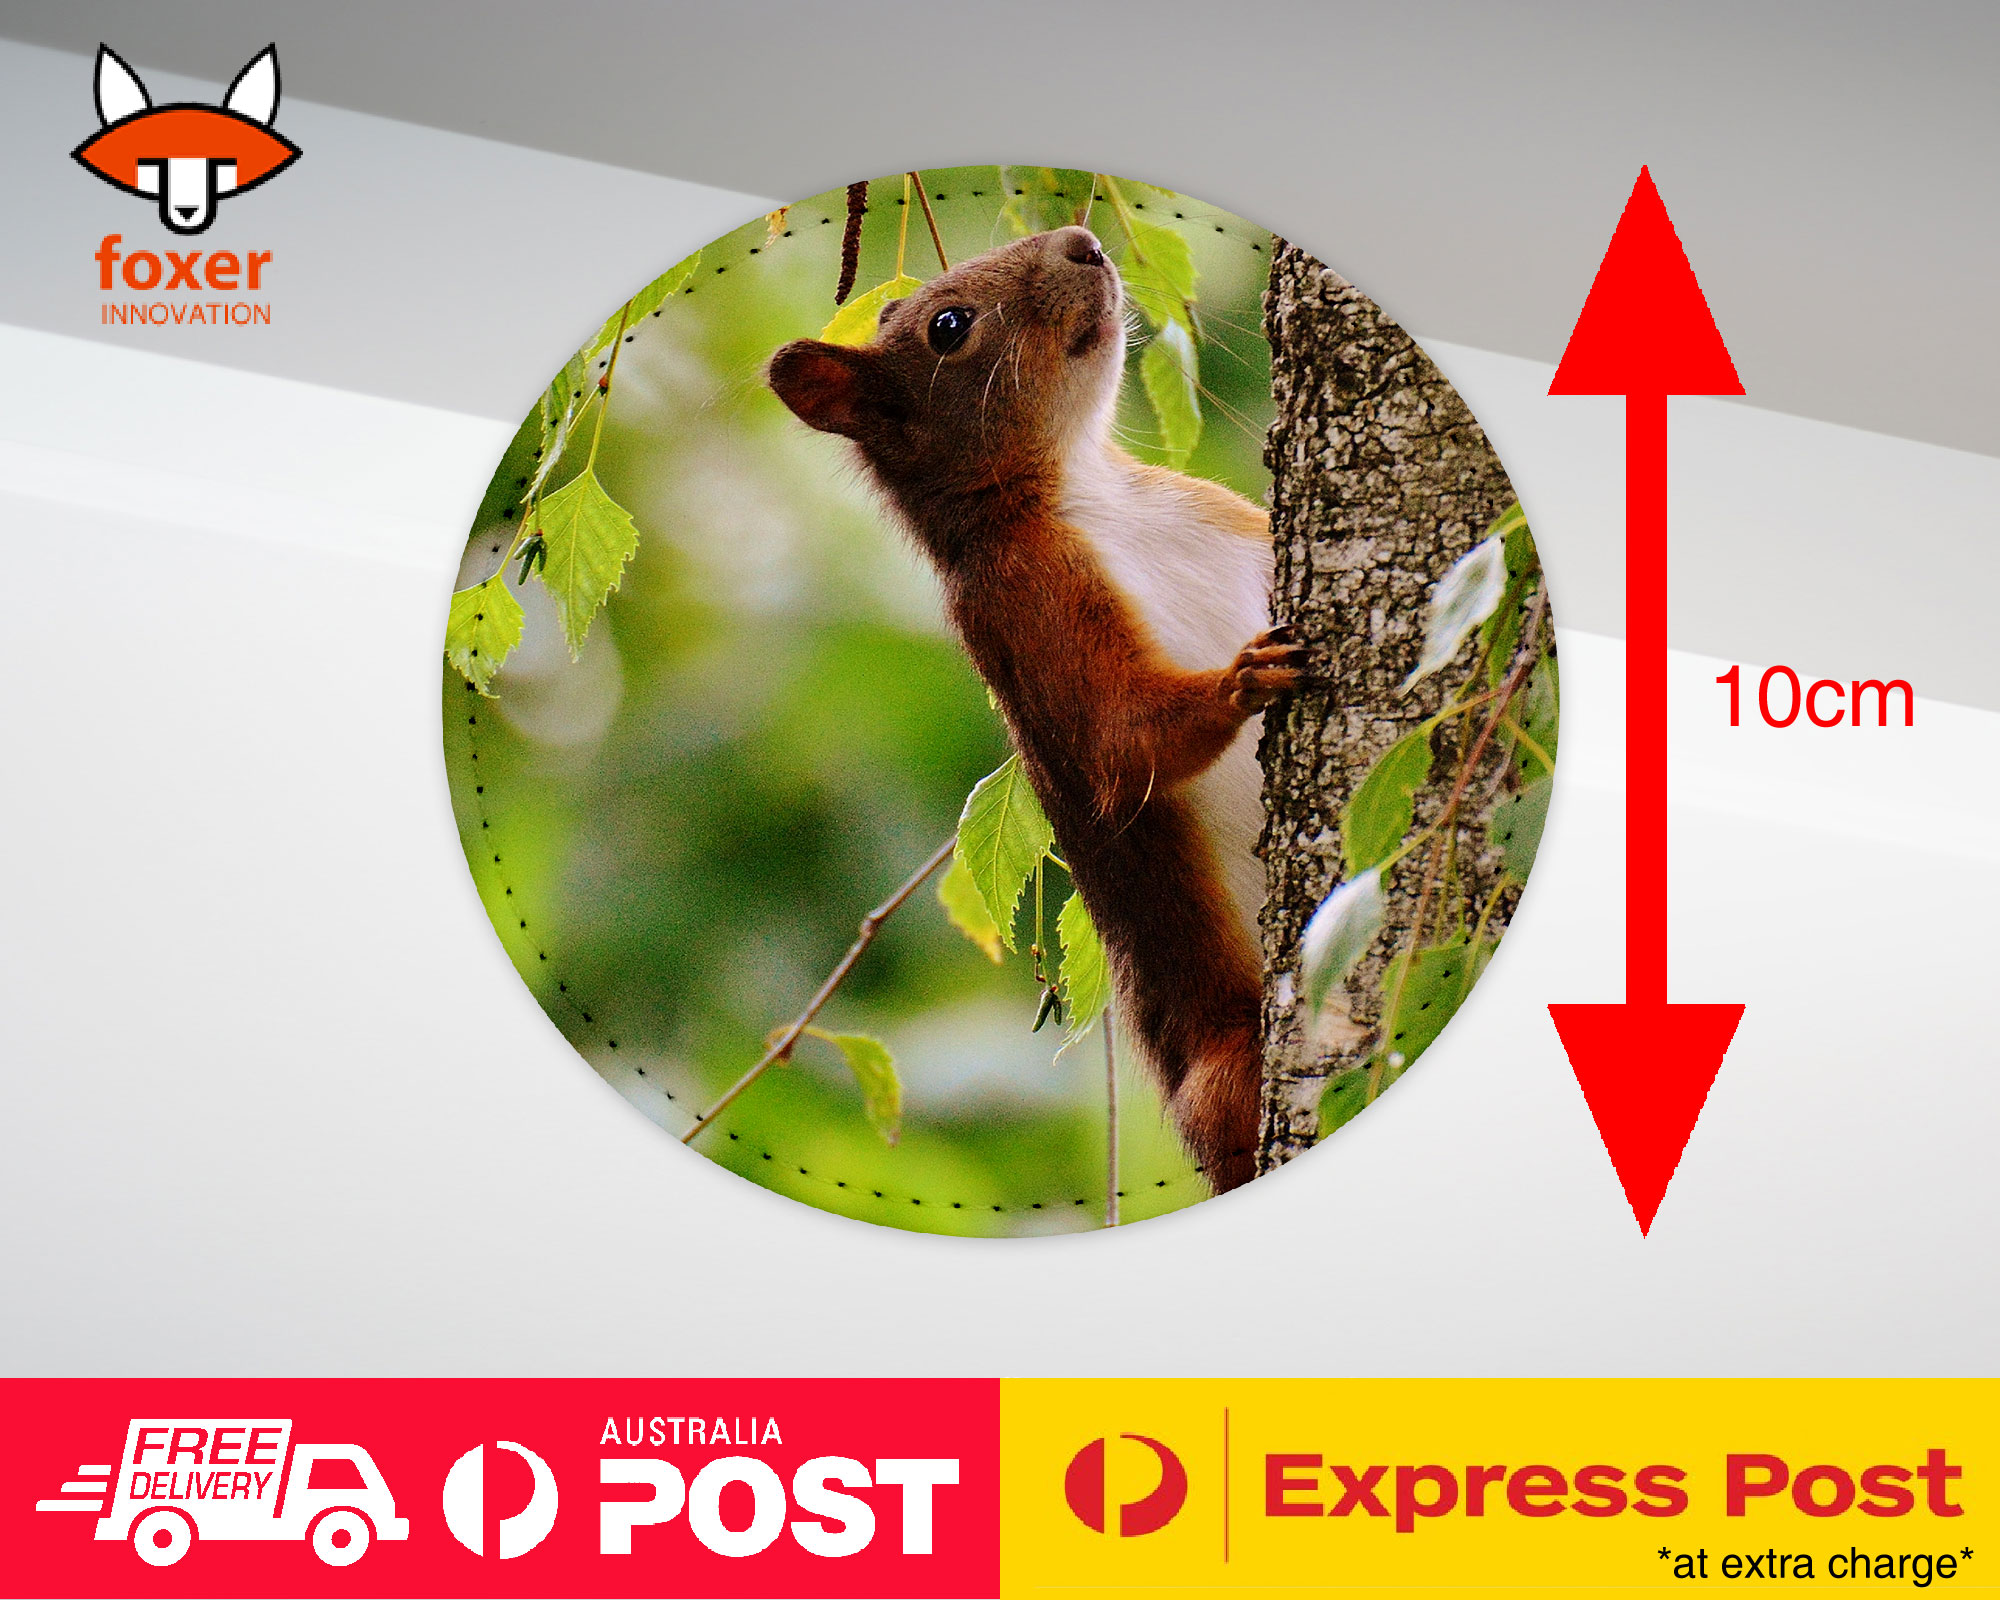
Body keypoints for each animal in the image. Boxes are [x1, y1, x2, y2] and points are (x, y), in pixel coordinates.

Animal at [768, 224, 1304, 1194]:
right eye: (948, 326)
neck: (1089, 487)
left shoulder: (1232, 517)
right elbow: (1123, 742)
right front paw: (1242, 680)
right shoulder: (1021, 606)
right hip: (1229, 1067)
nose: (1083, 241)